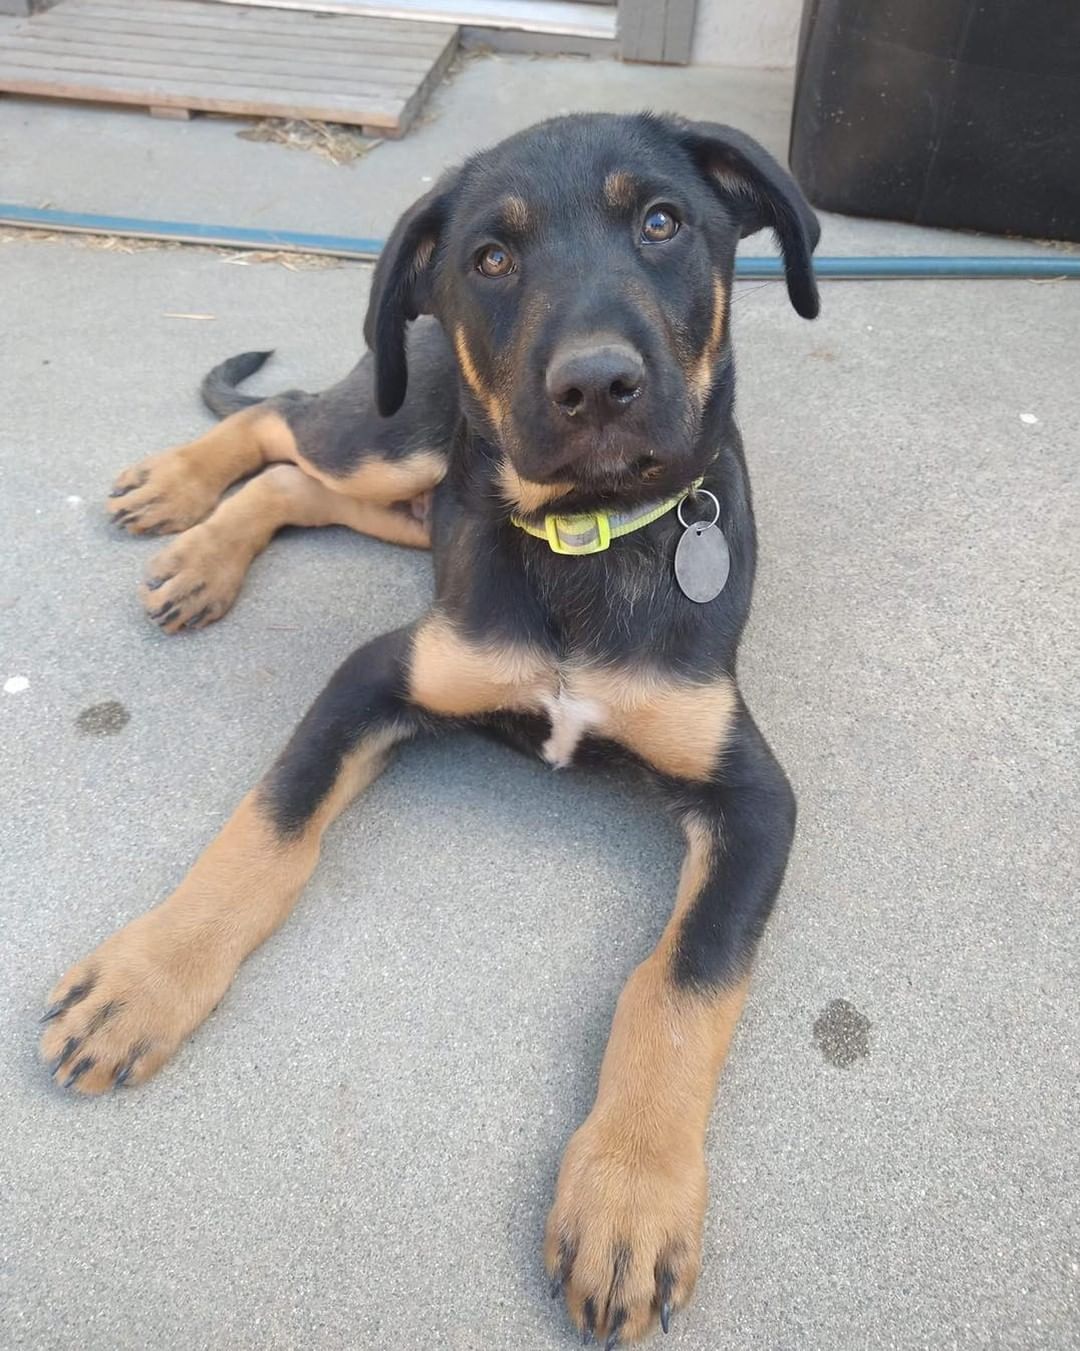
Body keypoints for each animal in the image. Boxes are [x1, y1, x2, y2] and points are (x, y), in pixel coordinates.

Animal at [42, 113, 821, 1340]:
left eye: (662, 222)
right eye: (490, 259)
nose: (597, 385)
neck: (587, 543)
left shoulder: (752, 796)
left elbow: (683, 979)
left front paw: (630, 1195)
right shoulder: (380, 674)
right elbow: (267, 831)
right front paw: (145, 979)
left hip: (418, 502)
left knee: (297, 485)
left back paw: (206, 546)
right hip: (400, 430)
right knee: (280, 424)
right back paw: (182, 503)